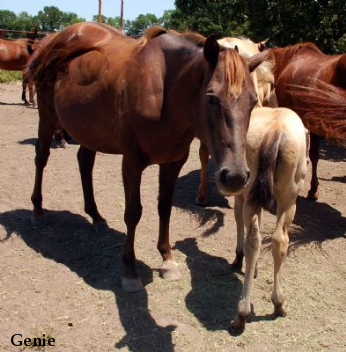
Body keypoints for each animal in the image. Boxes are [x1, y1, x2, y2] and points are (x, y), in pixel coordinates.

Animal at [27, 21, 268, 292]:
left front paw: (167, 259)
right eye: (211, 97)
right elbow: (133, 212)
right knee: (41, 157)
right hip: (48, 116)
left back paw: (95, 215)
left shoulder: (173, 162)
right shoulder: (132, 162)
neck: (164, 93)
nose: (235, 177)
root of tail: (58, 37)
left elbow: (164, 207)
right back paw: (37, 209)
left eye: (253, 100)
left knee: (84, 163)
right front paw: (130, 270)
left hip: (88, 130)